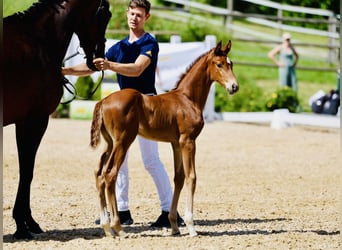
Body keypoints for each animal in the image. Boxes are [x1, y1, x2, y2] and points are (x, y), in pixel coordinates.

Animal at [3, 0, 112, 239]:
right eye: (105, 14)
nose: (99, 57)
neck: (38, 41)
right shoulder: (35, 120)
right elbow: (27, 170)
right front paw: (23, 224)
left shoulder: (25, 121)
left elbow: (26, 170)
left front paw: (27, 222)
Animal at [91, 40, 239, 236]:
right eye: (219, 64)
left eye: (231, 64)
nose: (234, 87)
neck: (187, 98)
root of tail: (103, 101)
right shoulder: (188, 141)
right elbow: (192, 177)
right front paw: (191, 226)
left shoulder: (176, 144)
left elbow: (179, 178)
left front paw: (174, 225)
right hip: (123, 141)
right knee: (110, 175)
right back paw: (118, 228)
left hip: (110, 144)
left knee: (99, 174)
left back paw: (107, 227)